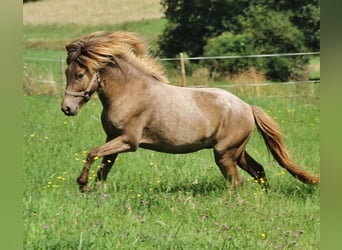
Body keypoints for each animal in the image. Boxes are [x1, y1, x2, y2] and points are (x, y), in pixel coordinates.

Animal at [60, 31, 320, 191]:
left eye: (80, 74)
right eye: (66, 72)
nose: (67, 108)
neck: (130, 93)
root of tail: (247, 107)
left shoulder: (128, 141)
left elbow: (92, 154)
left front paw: (81, 183)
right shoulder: (112, 138)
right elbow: (104, 167)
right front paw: (94, 191)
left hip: (225, 153)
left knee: (237, 182)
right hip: (237, 152)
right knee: (258, 171)